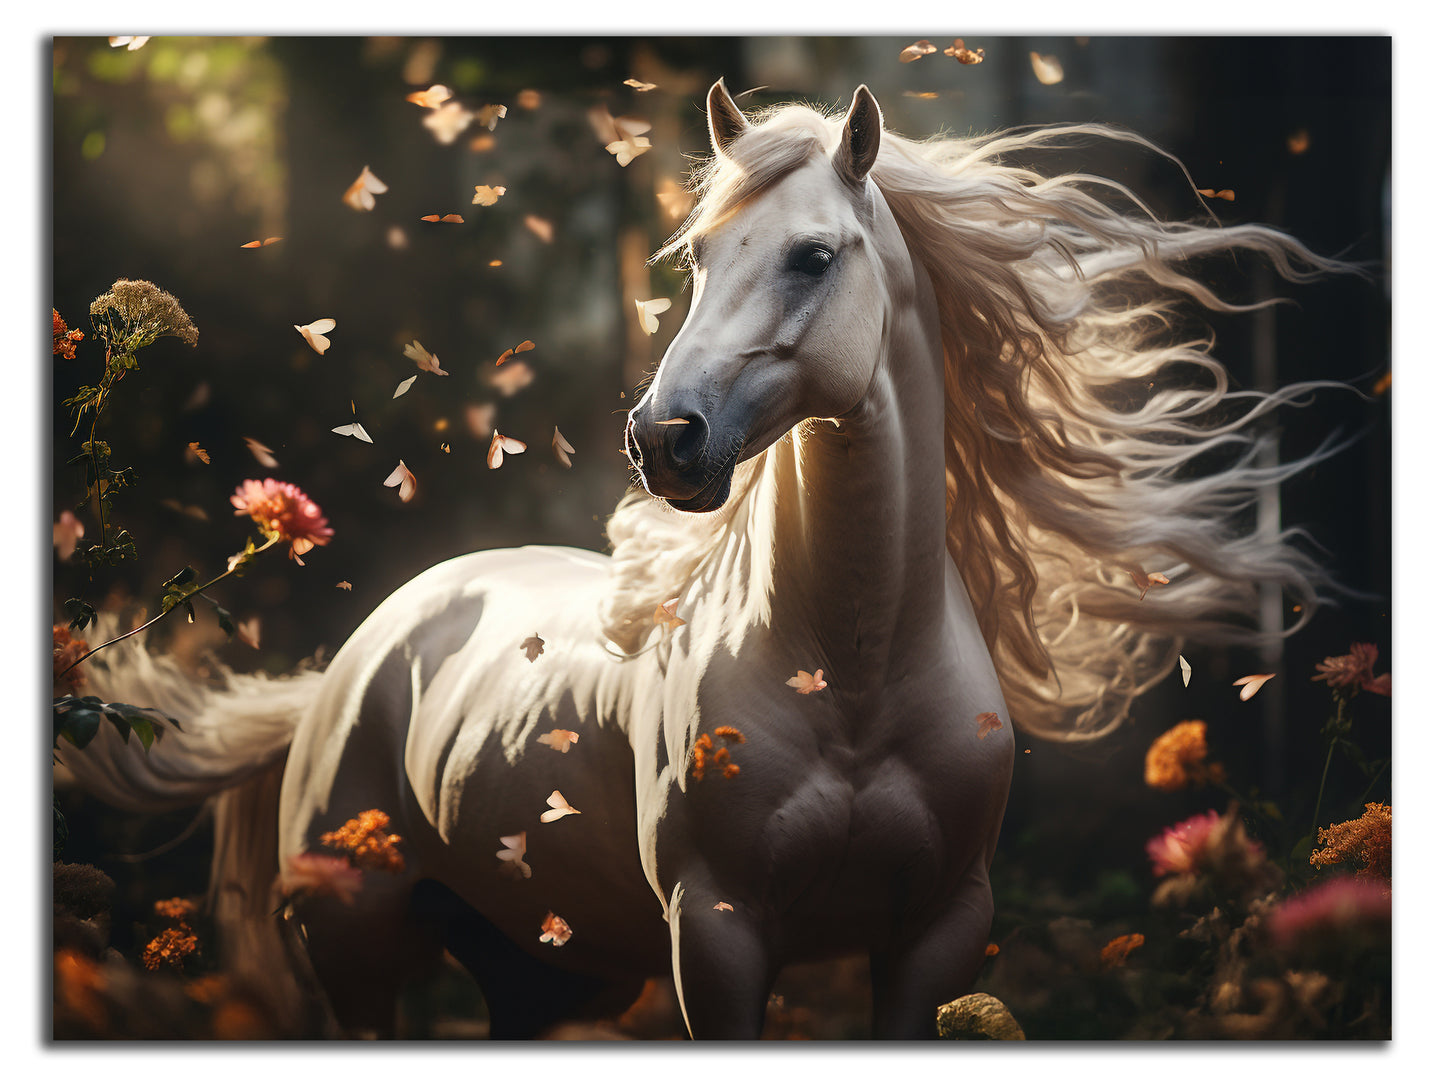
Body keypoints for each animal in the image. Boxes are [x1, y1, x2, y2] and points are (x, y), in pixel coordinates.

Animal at [57, 79, 1348, 1040]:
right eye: (697, 259)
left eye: (812, 257)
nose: (661, 440)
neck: (854, 678)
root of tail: (356, 658)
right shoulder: (718, 935)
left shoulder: (933, 936)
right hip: (363, 954)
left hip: (543, 970)